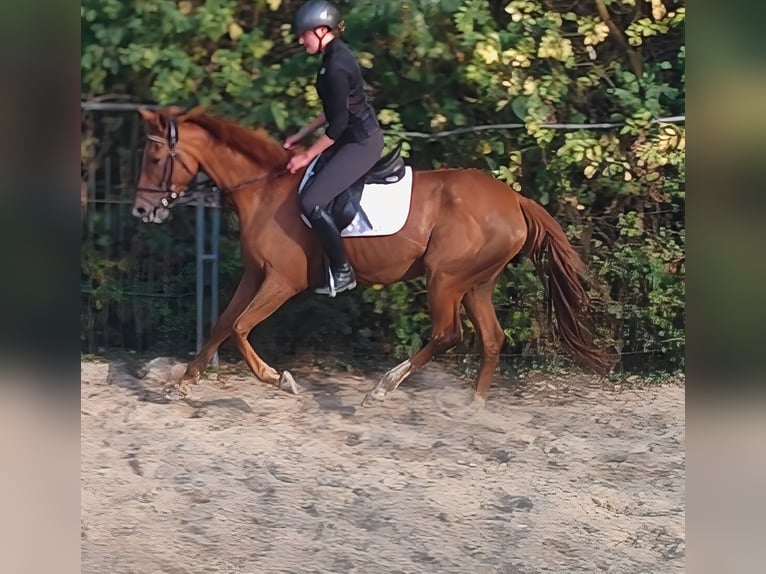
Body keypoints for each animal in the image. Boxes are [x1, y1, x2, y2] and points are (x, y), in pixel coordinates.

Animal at [132, 107, 609, 406]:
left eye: (154, 156)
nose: (141, 210)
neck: (264, 188)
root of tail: (514, 199)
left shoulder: (283, 281)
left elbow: (240, 328)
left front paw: (279, 379)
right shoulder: (255, 274)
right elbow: (222, 324)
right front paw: (186, 382)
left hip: (444, 279)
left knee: (447, 334)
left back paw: (383, 388)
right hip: (477, 283)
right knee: (492, 338)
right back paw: (473, 406)